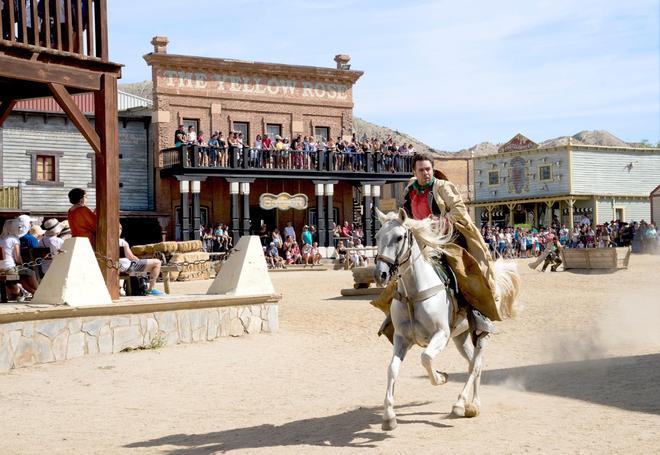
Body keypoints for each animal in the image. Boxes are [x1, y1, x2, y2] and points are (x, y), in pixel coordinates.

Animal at [372, 210, 520, 432]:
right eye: (378, 236)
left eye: (399, 237)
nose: (380, 274)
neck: (414, 295)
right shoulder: (401, 339)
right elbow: (392, 369)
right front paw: (389, 416)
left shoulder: (441, 334)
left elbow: (426, 358)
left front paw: (441, 377)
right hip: (461, 338)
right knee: (473, 364)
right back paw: (472, 404)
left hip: (480, 334)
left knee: (476, 365)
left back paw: (463, 404)